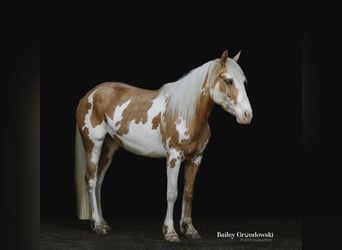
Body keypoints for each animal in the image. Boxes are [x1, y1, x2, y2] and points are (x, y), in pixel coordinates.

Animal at [74, 49, 251, 242]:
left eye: (244, 81)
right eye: (228, 80)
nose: (247, 115)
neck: (186, 112)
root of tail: (89, 95)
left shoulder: (196, 158)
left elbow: (188, 192)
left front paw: (190, 229)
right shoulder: (173, 156)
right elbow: (172, 193)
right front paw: (170, 232)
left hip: (109, 147)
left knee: (99, 180)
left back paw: (101, 222)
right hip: (94, 144)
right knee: (91, 180)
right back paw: (98, 225)